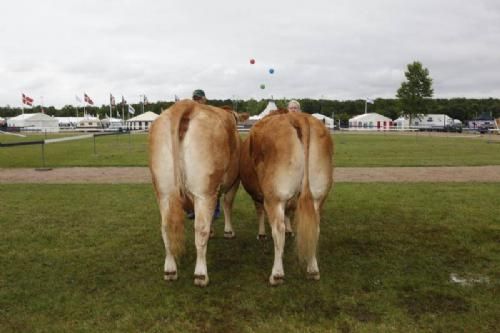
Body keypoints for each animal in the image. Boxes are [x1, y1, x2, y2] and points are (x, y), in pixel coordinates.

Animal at [238, 110, 332, 284]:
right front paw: (290, 230)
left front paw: (261, 234)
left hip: (275, 196)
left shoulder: (258, 195)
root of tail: (296, 116)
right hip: (318, 195)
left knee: (278, 230)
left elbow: (260, 212)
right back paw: (313, 270)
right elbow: (290, 212)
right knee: (315, 229)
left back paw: (277, 274)